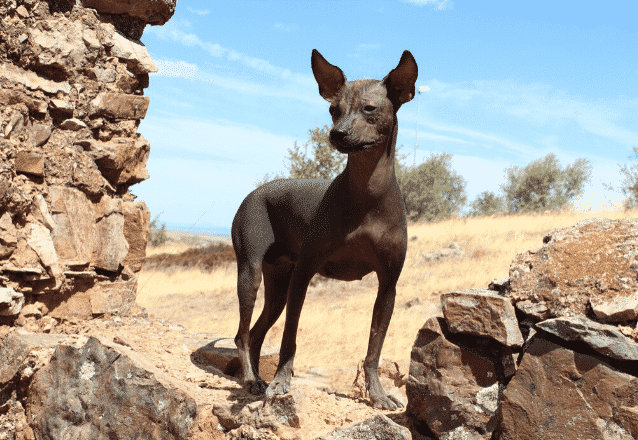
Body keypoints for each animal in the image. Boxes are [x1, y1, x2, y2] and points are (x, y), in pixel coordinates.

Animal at [232, 49, 418, 410]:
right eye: (333, 109)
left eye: (369, 109)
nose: (337, 134)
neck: (366, 193)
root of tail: (255, 192)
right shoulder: (304, 274)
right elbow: (289, 339)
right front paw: (281, 382)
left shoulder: (388, 286)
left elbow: (374, 350)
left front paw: (377, 394)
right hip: (251, 274)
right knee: (243, 334)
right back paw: (251, 380)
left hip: (278, 286)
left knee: (257, 332)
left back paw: (255, 378)